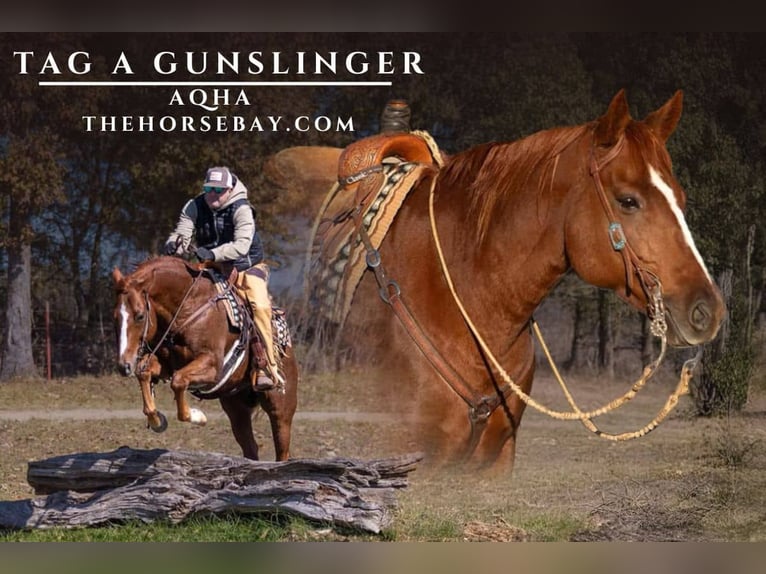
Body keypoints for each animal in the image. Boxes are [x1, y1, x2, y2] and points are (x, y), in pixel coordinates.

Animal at [111, 256, 298, 461]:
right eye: (115, 317)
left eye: (139, 316)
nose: (124, 365)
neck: (190, 305)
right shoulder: (169, 365)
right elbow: (144, 373)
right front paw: (157, 420)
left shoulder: (213, 367)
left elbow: (178, 381)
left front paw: (197, 416)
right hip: (237, 410)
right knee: (250, 447)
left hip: (280, 408)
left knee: (282, 449)